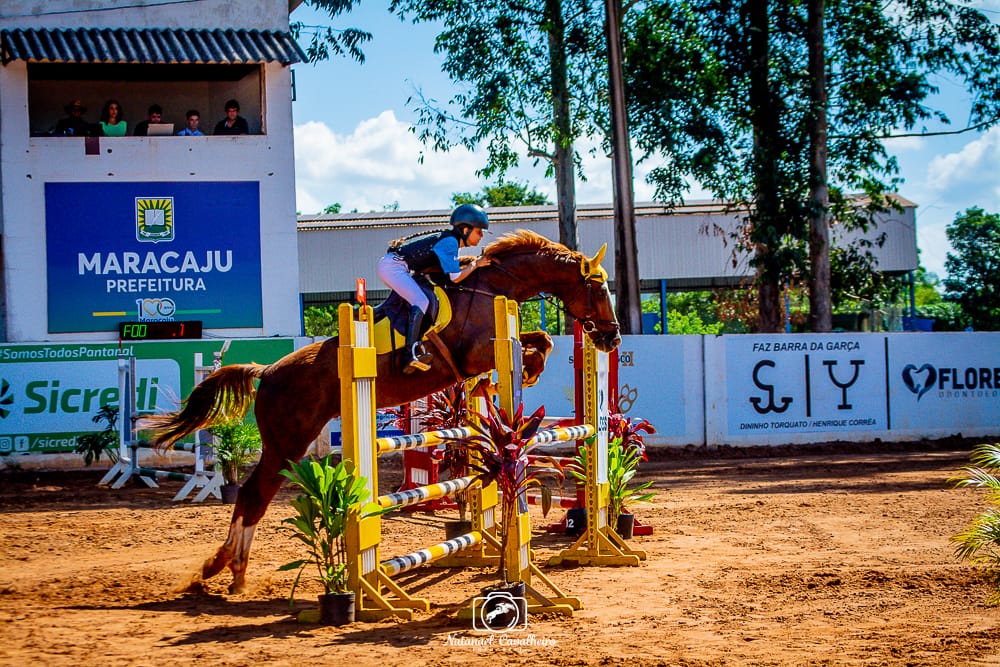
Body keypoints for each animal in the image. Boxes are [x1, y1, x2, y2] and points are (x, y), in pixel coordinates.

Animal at [145, 231, 620, 596]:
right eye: (599, 289)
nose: (612, 339)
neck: (490, 289)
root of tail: (269, 370)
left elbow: (542, 339)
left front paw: (502, 381)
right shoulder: (474, 353)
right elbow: (534, 343)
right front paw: (530, 370)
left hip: (289, 443)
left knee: (253, 495)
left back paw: (230, 570)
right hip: (287, 442)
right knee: (252, 494)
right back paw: (229, 568)